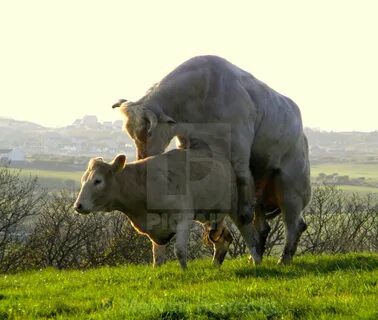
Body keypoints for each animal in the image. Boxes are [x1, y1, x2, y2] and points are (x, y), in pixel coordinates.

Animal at [111, 55, 310, 264]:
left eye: (147, 132)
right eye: (131, 134)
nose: (142, 158)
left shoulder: (239, 153)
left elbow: (242, 209)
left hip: (290, 185)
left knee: (294, 224)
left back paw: (283, 259)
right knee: (264, 226)